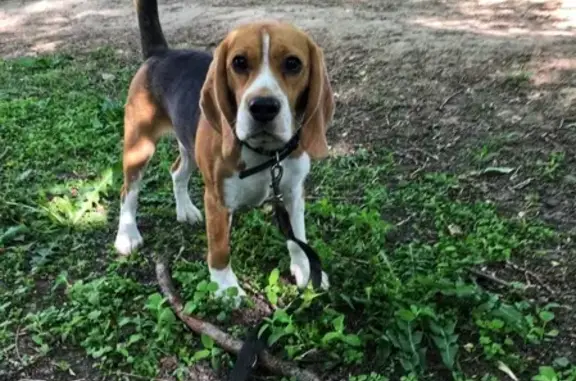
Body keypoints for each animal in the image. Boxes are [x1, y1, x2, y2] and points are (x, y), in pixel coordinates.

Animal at [114, 0, 336, 298]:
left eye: (293, 64)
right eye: (239, 62)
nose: (263, 107)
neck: (266, 155)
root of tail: (161, 53)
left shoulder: (292, 192)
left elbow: (297, 235)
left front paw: (305, 268)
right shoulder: (216, 199)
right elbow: (219, 247)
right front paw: (225, 287)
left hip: (188, 145)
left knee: (176, 172)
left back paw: (185, 210)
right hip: (139, 145)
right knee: (129, 190)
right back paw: (127, 234)